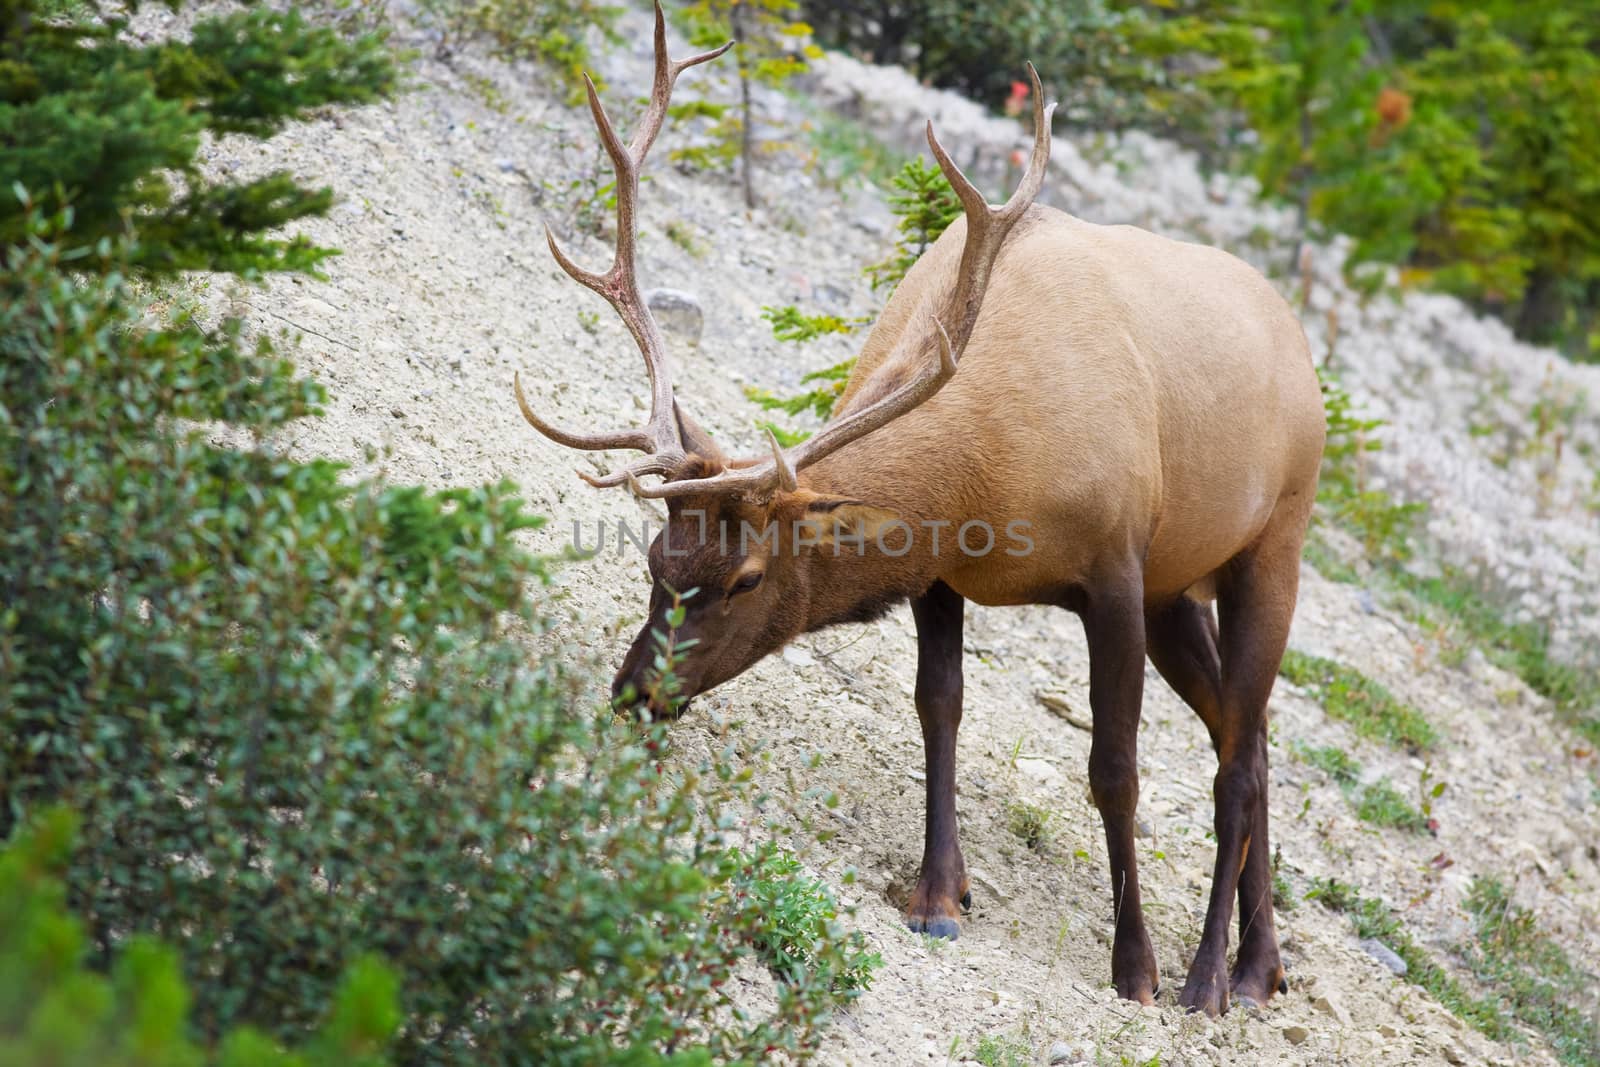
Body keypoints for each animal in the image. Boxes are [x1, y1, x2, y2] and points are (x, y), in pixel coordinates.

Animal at [515, 4, 1324, 1017]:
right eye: (656, 559)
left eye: (745, 577)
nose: (634, 691)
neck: (990, 470)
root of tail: (1298, 339)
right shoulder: (947, 569)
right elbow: (939, 705)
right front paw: (939, 894)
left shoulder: (1116, 569)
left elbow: (1115, 769)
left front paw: (1132, 966)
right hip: (1183, 589)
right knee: (1247, 737)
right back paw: (1268, 962)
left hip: (1271, 544)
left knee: (1235, 761)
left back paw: (1216, 974)